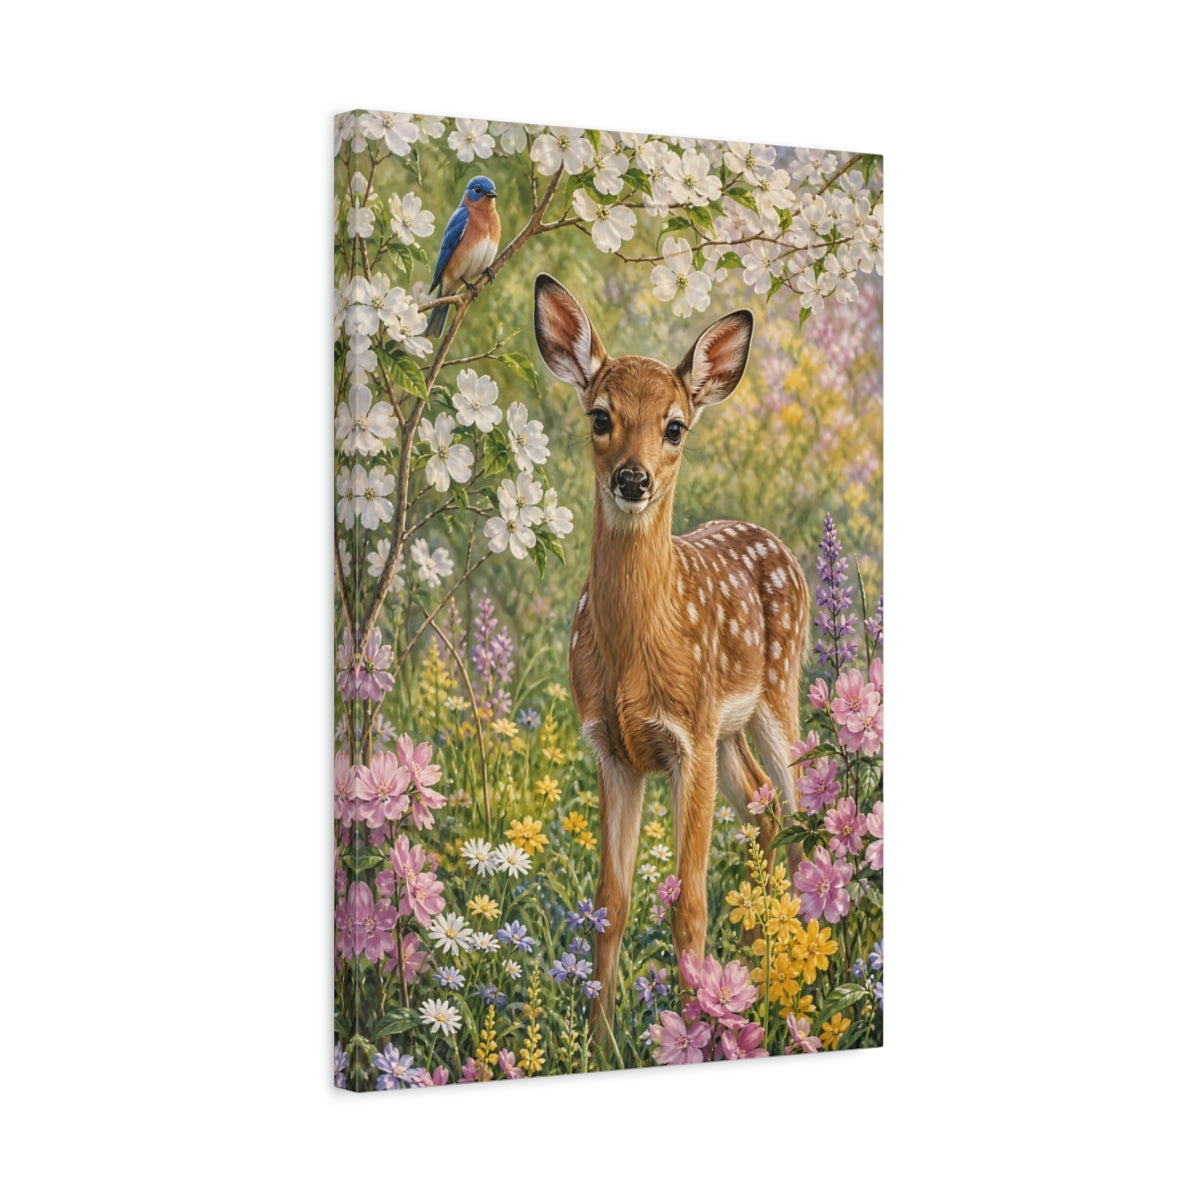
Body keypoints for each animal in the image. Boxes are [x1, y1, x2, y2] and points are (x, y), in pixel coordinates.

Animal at [533, 274, 811, 1042]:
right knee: (764, 812)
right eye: (601, 415)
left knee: (800, 813)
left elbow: (688, 904)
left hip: (774, 698)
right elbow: (612, 902)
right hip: (727, 735)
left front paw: (692, 1029)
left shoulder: (688, 736)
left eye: (676, 426)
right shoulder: (611, 747)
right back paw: (757, 963)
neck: (635, 649)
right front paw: (599, 1041)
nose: (633, 479)